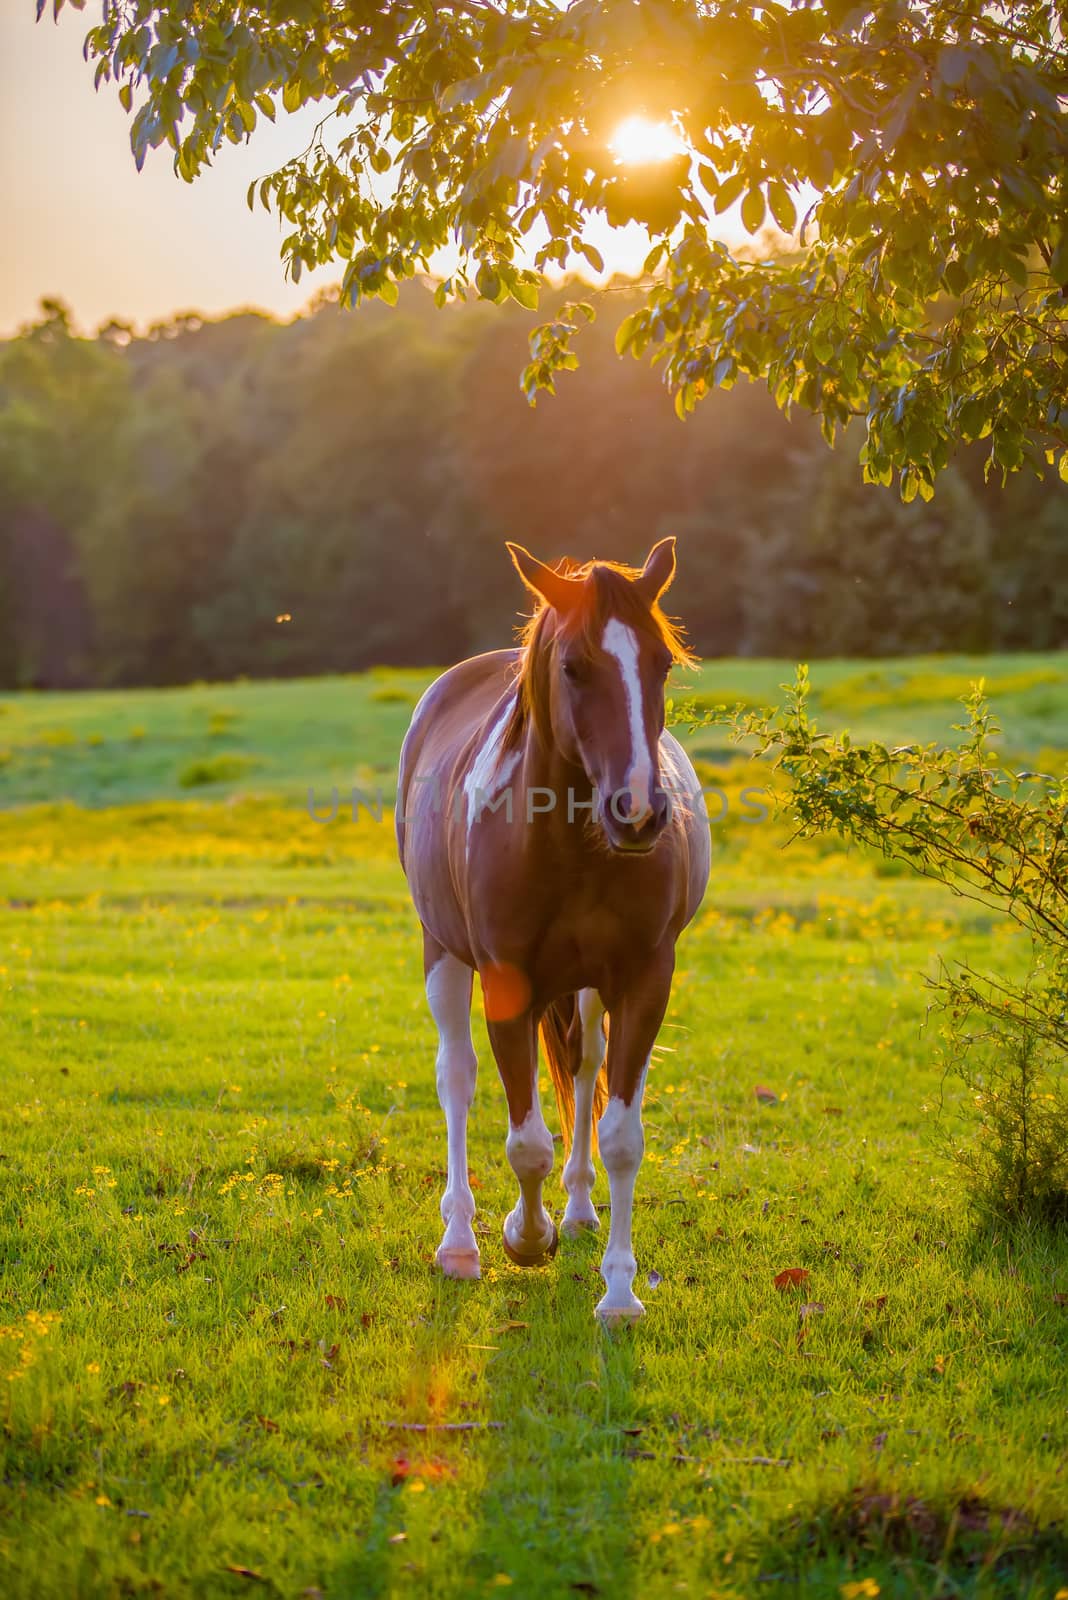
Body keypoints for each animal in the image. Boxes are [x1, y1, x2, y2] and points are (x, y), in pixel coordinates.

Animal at [391, 544, 709, 1318]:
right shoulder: (508, 984)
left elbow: (619, 1134)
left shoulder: (644, 982)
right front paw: (524, 1238)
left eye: (661, 662)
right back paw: (459, 1242)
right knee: (457, 1077)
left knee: (584, 1066)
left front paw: (619, 1292)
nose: (639, 811)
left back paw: (582, 1212)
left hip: (589, 990)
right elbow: (524, 1142)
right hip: (442, 953)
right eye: (573, 666)